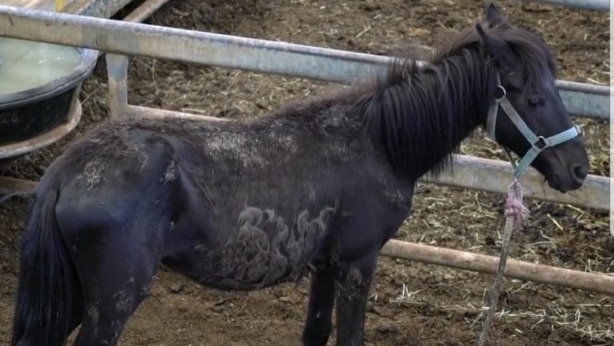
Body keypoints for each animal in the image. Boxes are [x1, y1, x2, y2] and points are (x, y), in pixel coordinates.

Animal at [9, 3, 588, 346]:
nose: (579, 170)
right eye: (534, 97)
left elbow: (315, 331)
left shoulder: (326, 263)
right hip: (111, 300)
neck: (377, 142)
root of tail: (67, 171)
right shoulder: (358, 261)